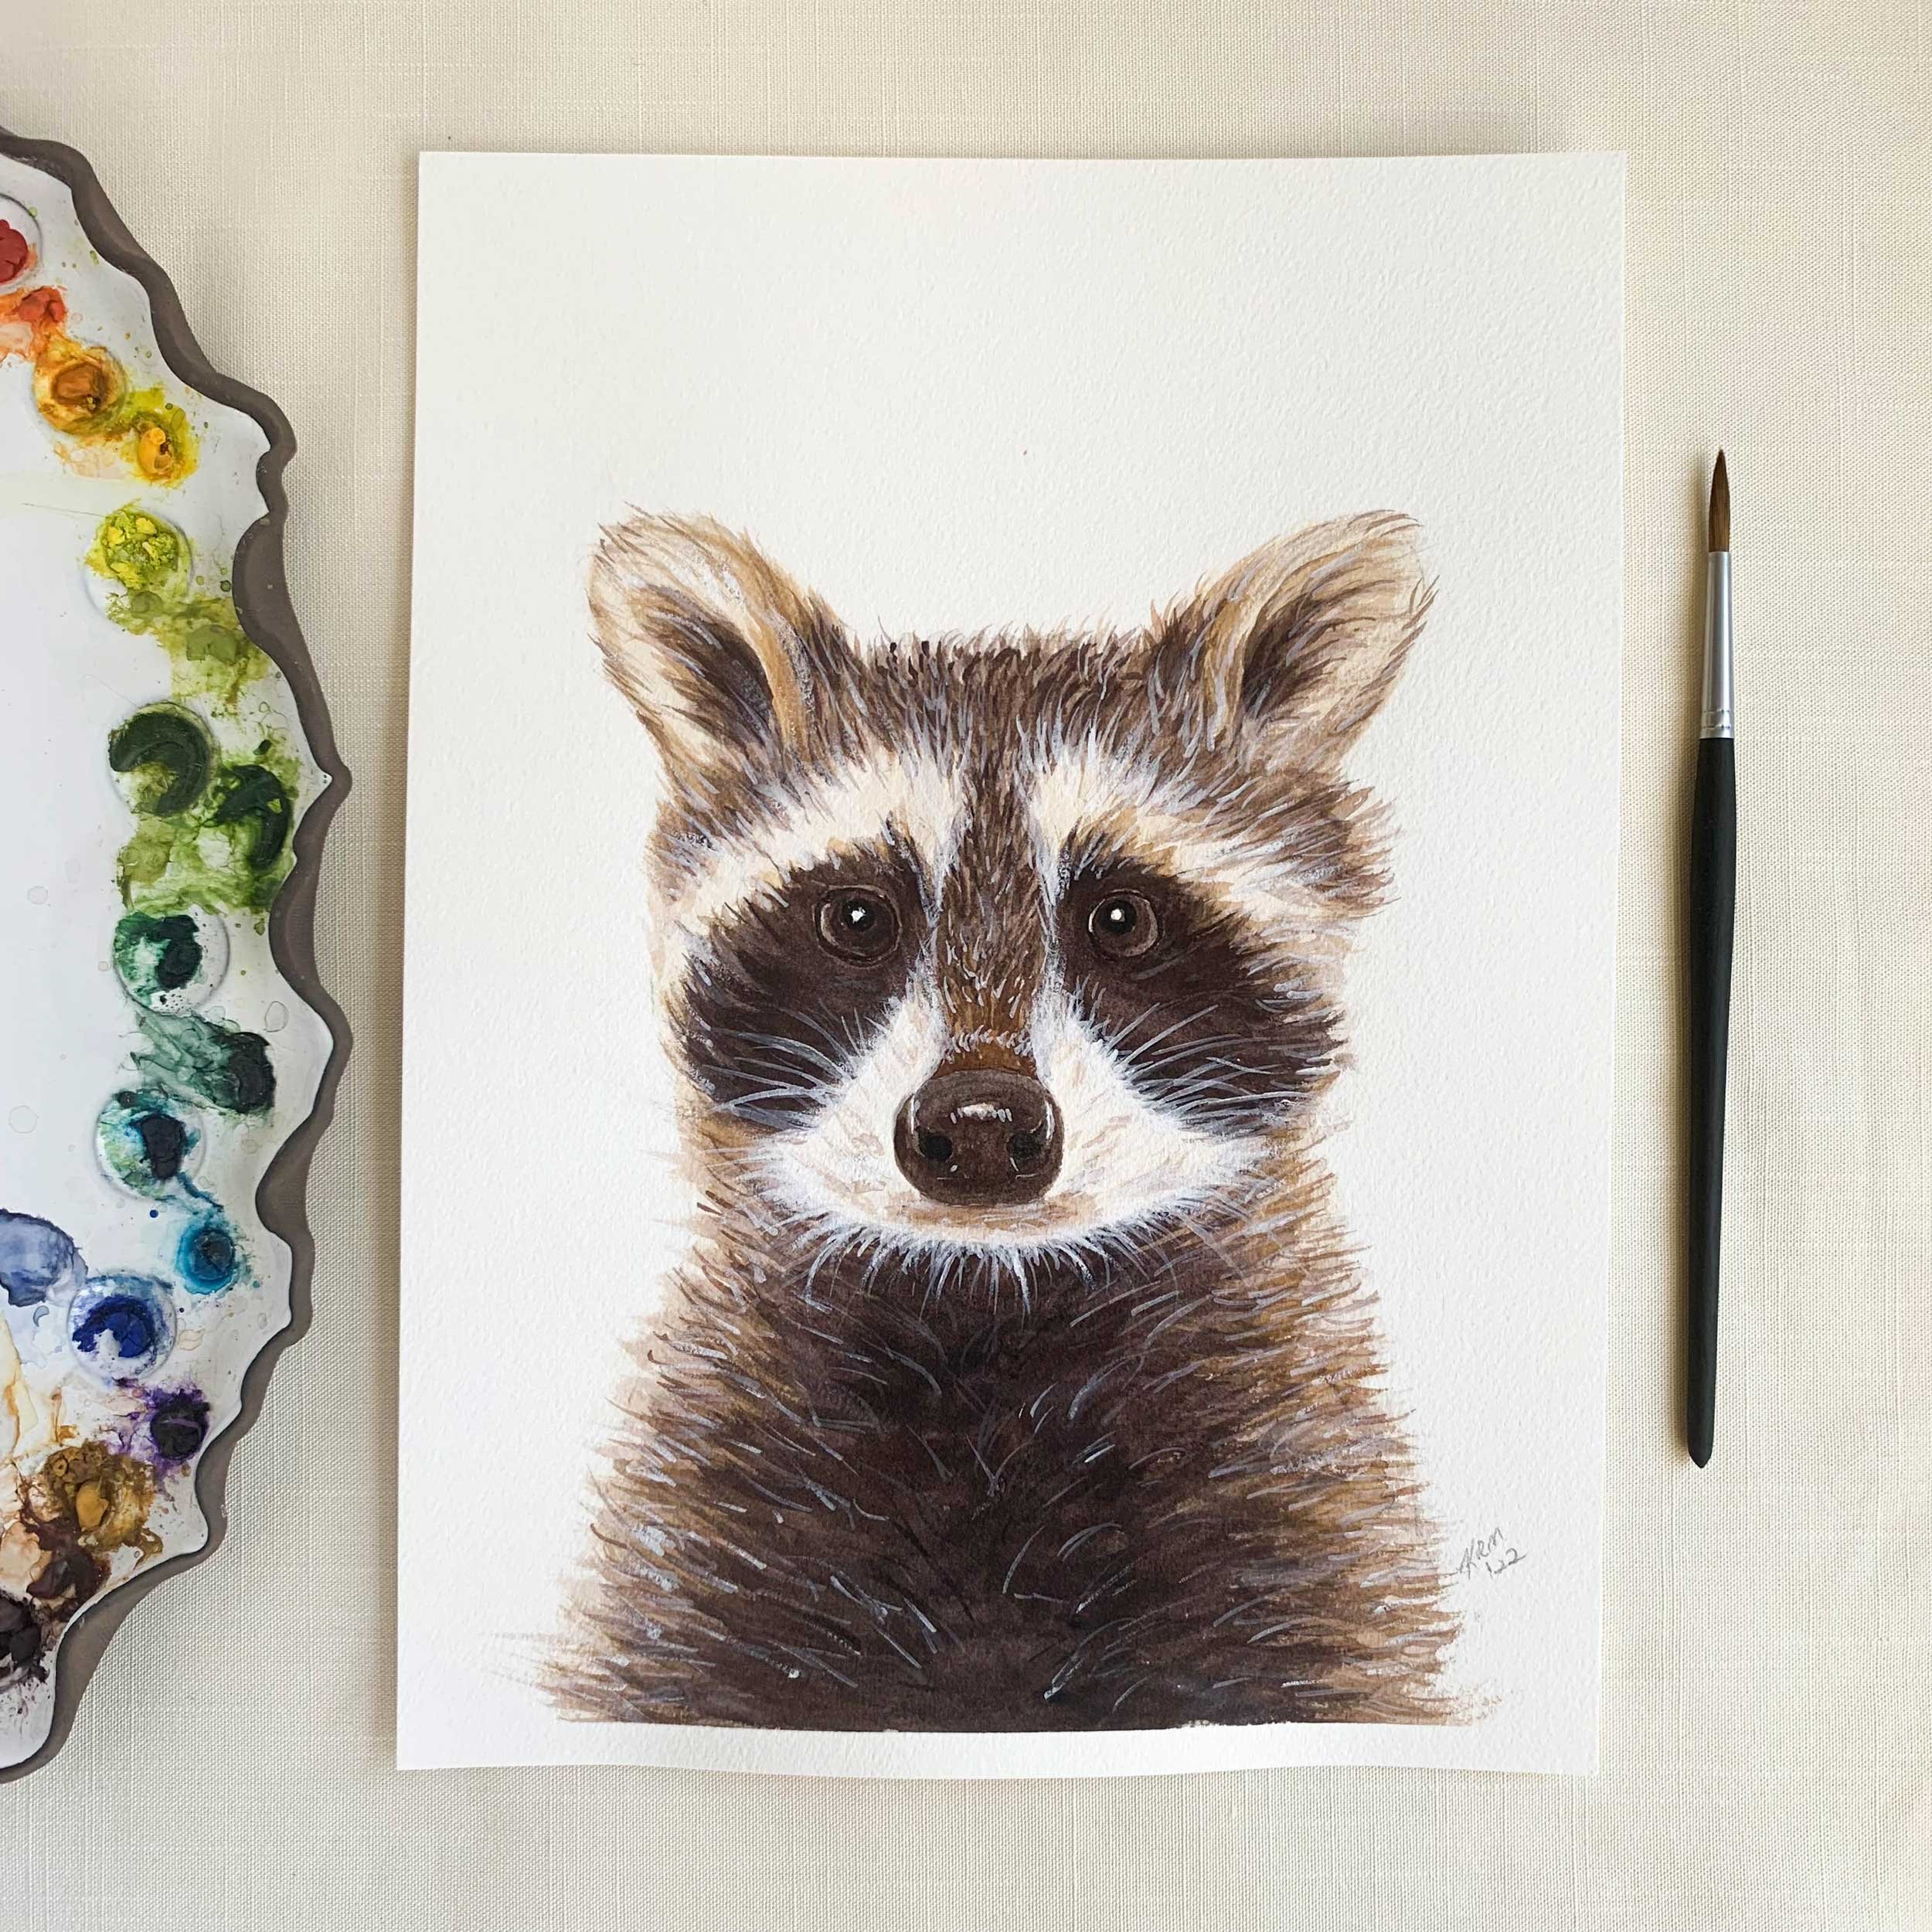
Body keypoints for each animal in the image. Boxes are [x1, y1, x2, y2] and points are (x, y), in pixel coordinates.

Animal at [546, 511, 1458, 1731]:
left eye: (1121, 919)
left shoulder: (1308, 1540)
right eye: (857, 917)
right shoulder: (700, 1551)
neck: (989, 1311)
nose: (979, 1124)